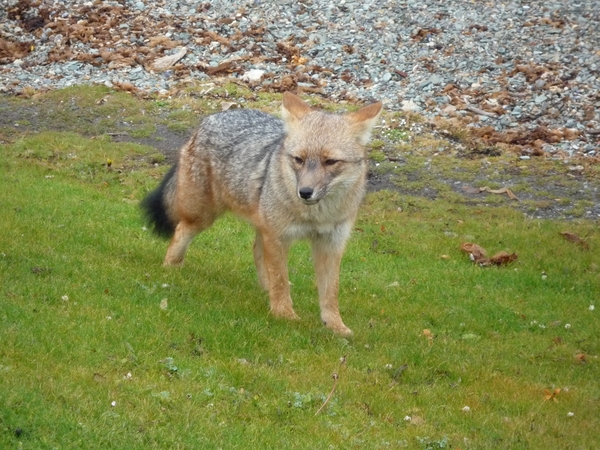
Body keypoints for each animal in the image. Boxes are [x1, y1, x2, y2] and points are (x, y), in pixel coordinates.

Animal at [142, 91, 380, 336]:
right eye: (299, 159)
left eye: (330, 161)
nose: (305, 192)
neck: (315, 215)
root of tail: (210, 118)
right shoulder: (278, 237)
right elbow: (281, 279)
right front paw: (285, 315)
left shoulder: (330, 244)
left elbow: (330, 291)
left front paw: (335, 326)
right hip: (202, 217)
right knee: (180, 232)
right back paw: (171, 270)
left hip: (259, 226)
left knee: (257, 251)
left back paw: (265, 290)